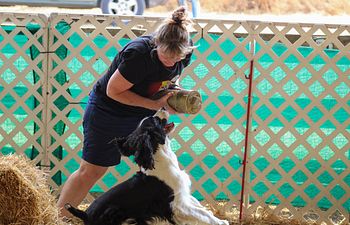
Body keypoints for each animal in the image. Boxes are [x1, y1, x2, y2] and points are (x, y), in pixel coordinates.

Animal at [65, 109, 230, 225]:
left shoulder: (183, 195)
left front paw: (221, 219)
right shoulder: (175, 205)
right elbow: (201, 215)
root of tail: (85, 214)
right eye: (155, 120)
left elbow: (203, 210)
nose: (163, 107)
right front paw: (221, 222)